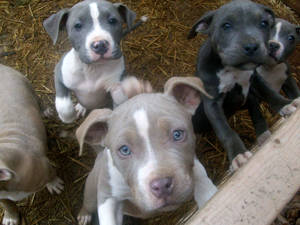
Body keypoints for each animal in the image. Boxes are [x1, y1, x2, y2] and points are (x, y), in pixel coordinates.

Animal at [0, 63, 63, 225]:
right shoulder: (2, 197)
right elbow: (8, 204)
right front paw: (10, 218)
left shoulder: (43, 167)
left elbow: (51, 175)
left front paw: (55, 185)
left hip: (26, 84)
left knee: (38, 101)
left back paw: (46, 112)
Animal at [74, 77, 216, 225]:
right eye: (125, 150)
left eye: (177, 134)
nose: (161, 185)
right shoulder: (107, 194)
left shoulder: (193, 166)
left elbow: (205, 187)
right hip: (91, 191)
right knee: (88, 204)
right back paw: (84, 215)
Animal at [189, 0, 298, 170]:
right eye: (226, 25)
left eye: (264, 23)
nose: (252, 46)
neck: (233, 69)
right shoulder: (212, 103)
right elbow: (226, 131)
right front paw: (238, 155)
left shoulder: (255, 80)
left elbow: (270, 94)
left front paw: (285, 104)